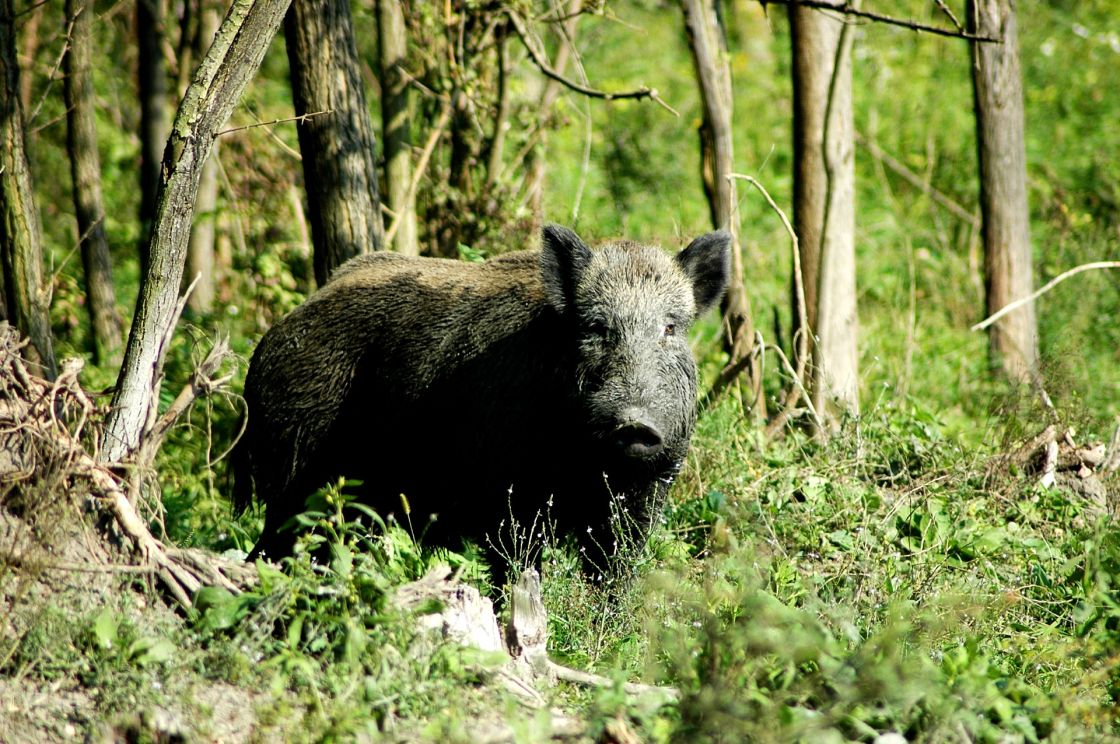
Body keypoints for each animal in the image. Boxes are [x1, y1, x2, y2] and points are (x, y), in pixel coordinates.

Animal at [232, 225, 730, 578]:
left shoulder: (646, 492)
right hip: (294, 466)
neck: (586, 462)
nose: (635, 423)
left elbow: (614, 573)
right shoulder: (509, 498)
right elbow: (516, 568)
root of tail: (266, 345)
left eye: (670, 327)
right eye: (595, 327)